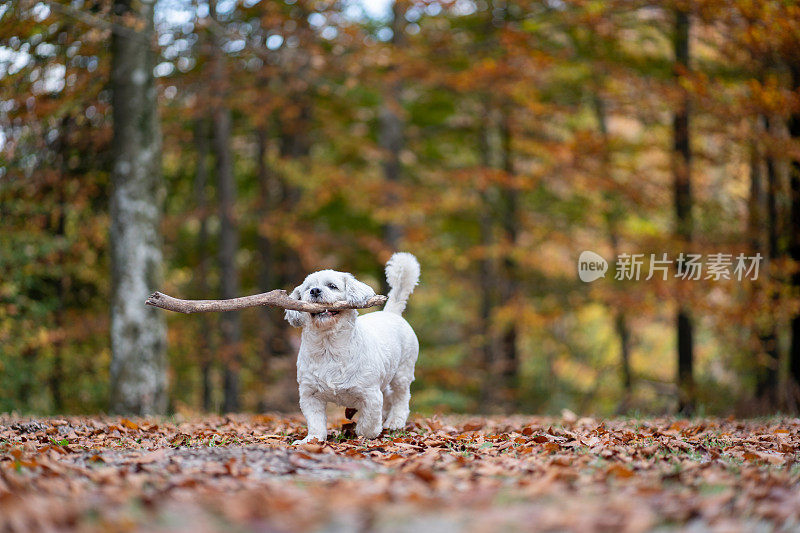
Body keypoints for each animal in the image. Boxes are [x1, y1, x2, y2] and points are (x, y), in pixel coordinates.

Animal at [288, 251, 424, 442]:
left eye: (332, 286)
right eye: (308, 288)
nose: (315, 291)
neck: (329, 347)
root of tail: (391, 313)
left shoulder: (371, 394)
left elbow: (369, 422)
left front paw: (364, 434)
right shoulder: (310, 395)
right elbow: (315, 422)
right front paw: (312, 440)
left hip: (402, 373)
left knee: (401, 398)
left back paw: (394, 421)